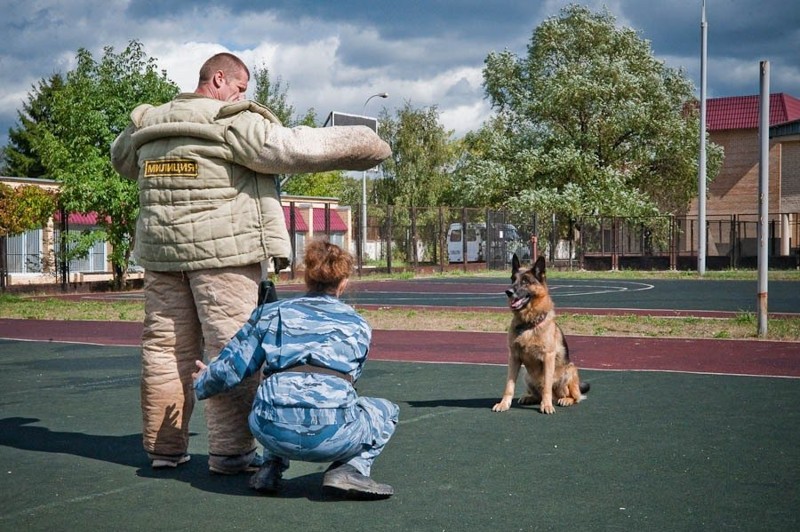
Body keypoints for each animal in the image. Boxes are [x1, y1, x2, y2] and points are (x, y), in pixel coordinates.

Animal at [490, 256, 592, 414]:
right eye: (513, 279)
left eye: (525, 281)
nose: (508, 291)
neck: (529, 323)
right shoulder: (513, 358)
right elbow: (509, 385)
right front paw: (504, 404)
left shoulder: (548, 358)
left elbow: (547, 387)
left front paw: (547, 405)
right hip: (527, 376)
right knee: (537, 394)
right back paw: (529, 397)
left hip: (570, 370)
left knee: (576, 397)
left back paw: (564, 400)